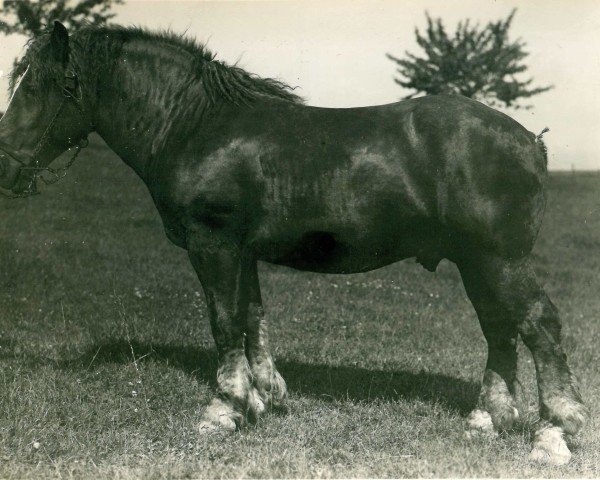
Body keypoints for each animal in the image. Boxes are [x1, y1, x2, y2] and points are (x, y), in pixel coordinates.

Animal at [0, 22, 584, 464]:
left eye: (36, 87)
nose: (5, 168)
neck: (196, 126)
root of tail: (530, 142)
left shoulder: (214, 246)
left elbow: (224, 320)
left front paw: (225, 408)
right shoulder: (243, 252)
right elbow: (252, 317)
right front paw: (264, 398)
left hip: (499, 259)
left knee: (539, 325)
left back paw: (554, 432)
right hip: (475, 262)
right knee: (500, 328)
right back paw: (487, 419)